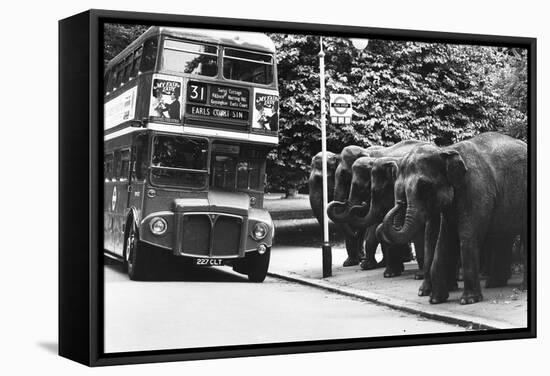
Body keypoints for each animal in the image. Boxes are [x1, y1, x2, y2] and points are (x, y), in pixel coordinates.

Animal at [382, 133, 528, 306]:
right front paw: (434, 299)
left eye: (425, 186)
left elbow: (467, 235)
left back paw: (520, 288)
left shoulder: (477, 190)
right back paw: (494, 284)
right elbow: (444, 238)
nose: (399, 203)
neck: (447, 150)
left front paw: (468, 300)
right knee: (503, 236)